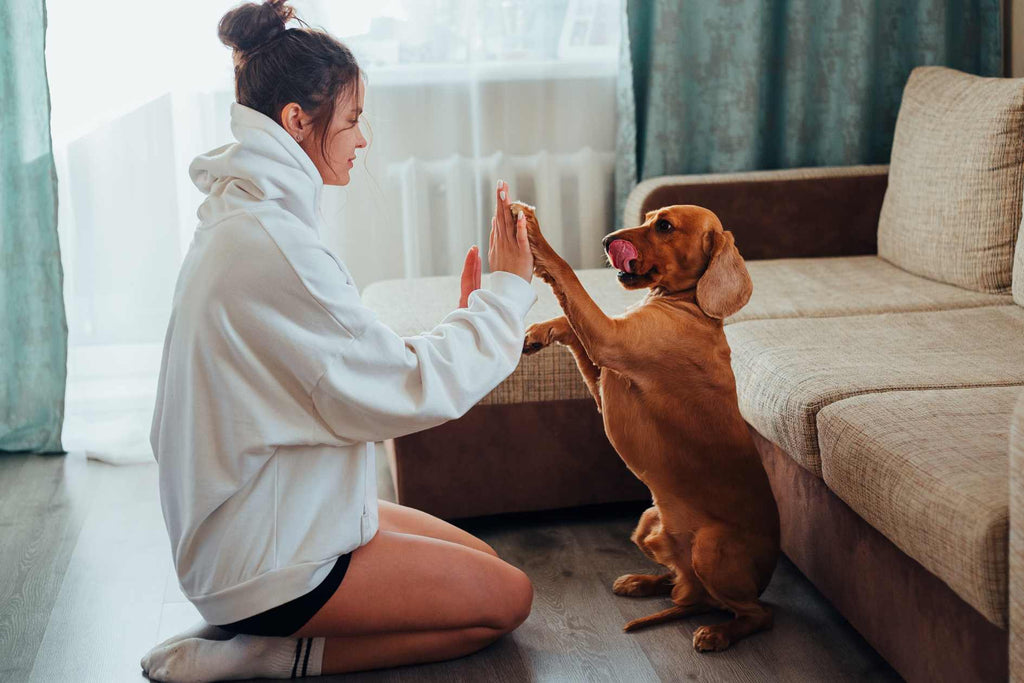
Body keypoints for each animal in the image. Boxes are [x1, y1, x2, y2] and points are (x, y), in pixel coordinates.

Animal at [516, 201, 778, 651]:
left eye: (665, 226)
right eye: (648, 217)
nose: (607, 241)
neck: (691, 306)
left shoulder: (609, 340)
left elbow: (567, 275)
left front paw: (534, 234)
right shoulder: (604, 372)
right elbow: (571, 325)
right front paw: (539, 331)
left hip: (709, 547)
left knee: (757, 614)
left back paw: (718, 633)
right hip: (648, 521)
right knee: (682, 585)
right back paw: (642, 582)